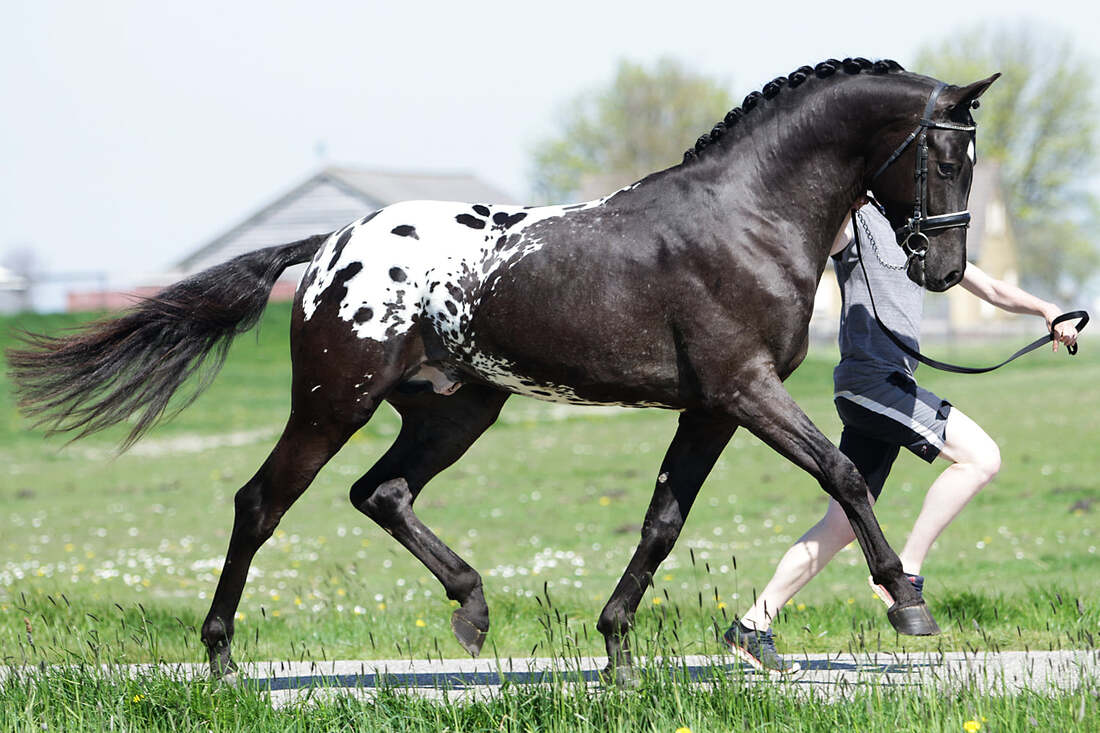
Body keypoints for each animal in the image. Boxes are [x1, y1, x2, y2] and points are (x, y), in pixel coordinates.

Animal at [6, 57, 998, 677]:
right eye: (945, 154)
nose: (944, 269)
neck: (745, 218)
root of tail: (328, 246)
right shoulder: (746, 391)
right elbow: (840, 472)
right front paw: (907, 600)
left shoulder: (710, 408)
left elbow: (661, 522)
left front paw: (615, 649)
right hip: (333, 405)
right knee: (261, 504)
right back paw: (220, 655)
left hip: (456, 409)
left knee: (381, 493)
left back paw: (472, 609)